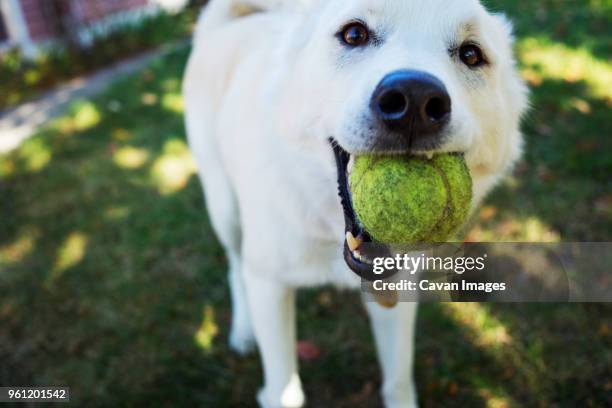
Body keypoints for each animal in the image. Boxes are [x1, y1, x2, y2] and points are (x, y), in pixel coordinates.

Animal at [182, 1, 524, 406]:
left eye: (471, 54)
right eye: (354, 34)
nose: (415, 100)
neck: (330, 231)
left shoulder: (397, 294)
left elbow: (398, 381)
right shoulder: (268, 286)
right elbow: (284, 389)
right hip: (225, 209)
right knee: (235, 266)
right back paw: (243, 330)